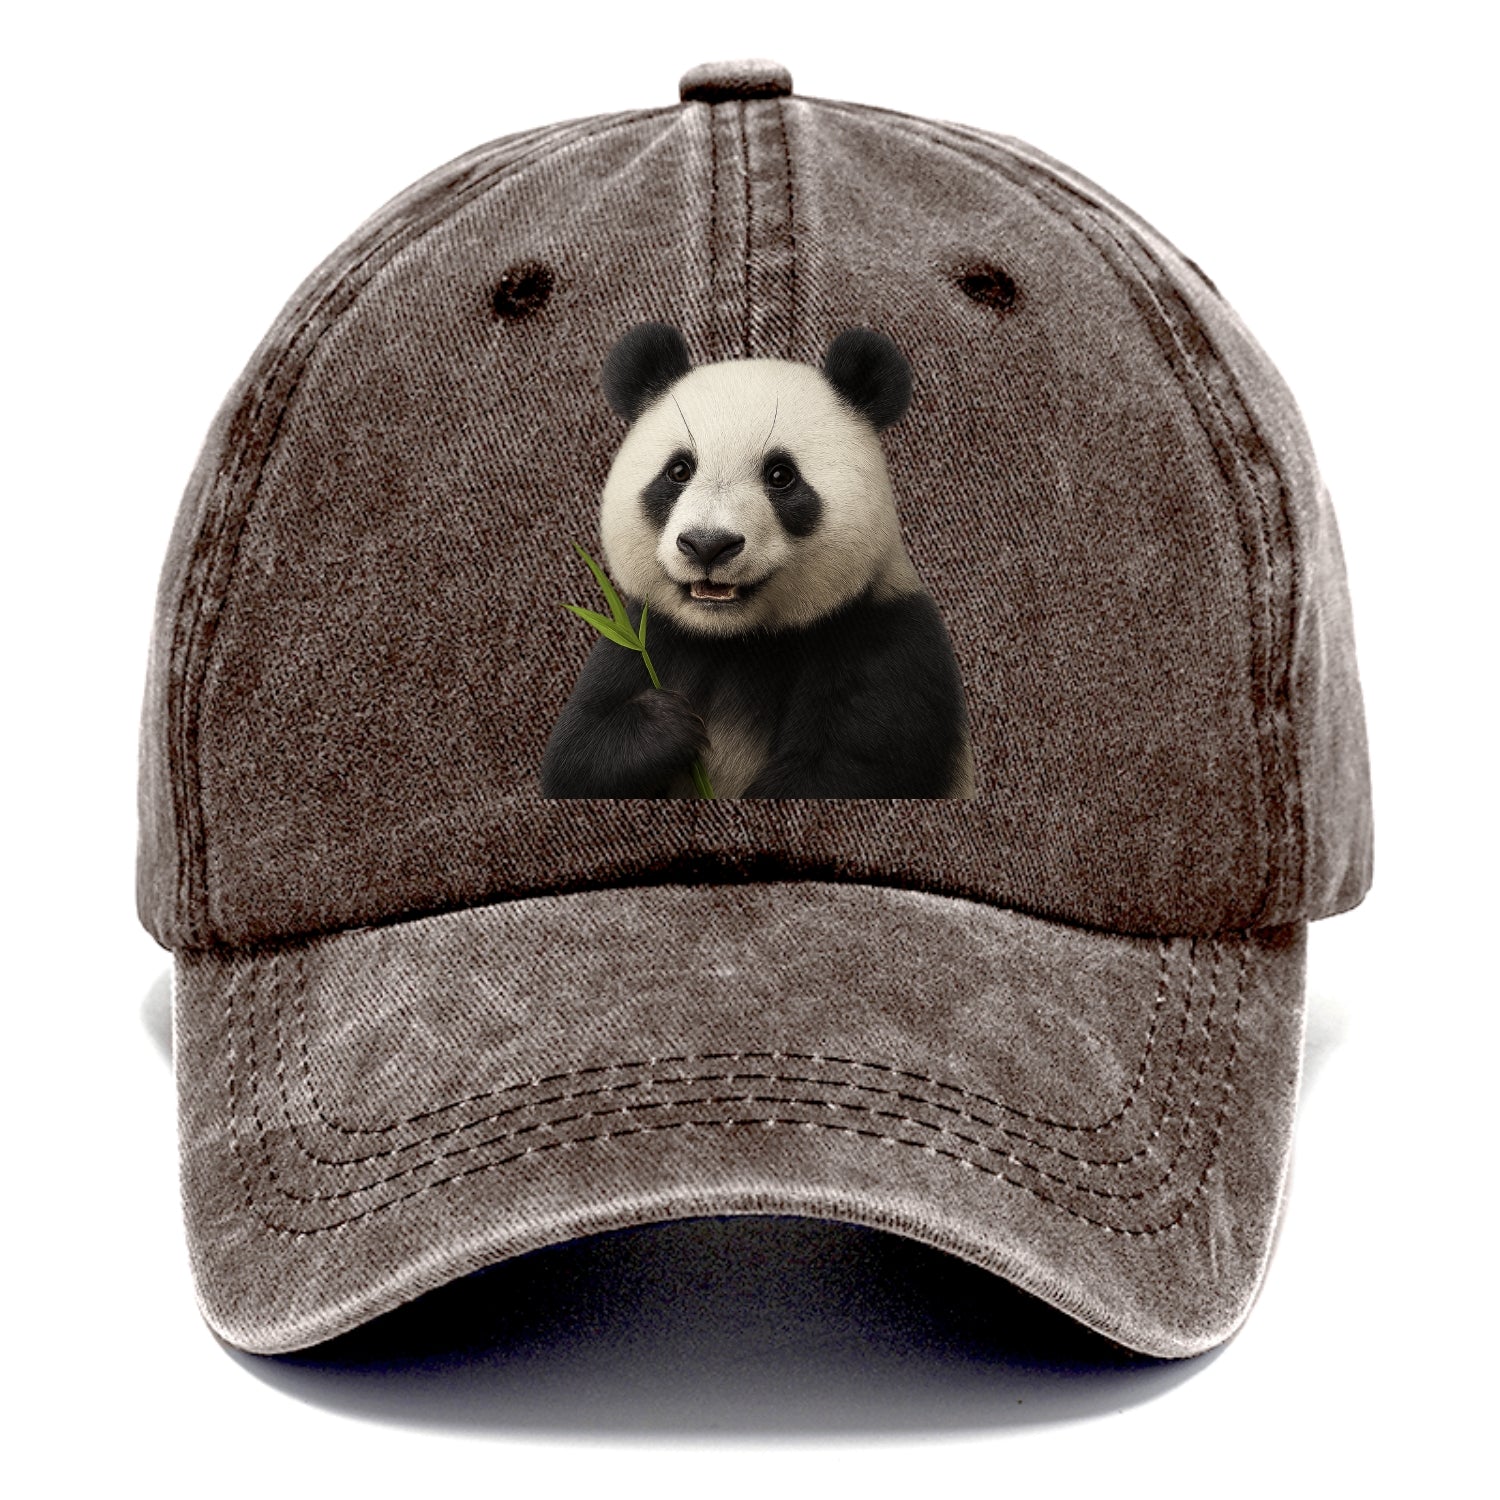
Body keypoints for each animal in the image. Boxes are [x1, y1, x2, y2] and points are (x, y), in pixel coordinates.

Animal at [540, 322, 974, 799]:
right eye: (679, 470)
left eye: (781, 475)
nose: (708, 544)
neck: (736, 640)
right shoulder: (646, 636)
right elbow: (574, 755)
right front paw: (665, 725)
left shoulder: (886, 643)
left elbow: (840, 771)